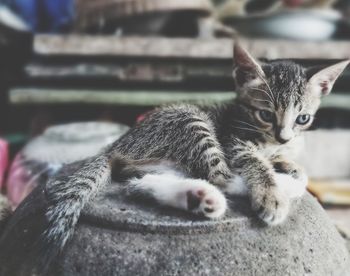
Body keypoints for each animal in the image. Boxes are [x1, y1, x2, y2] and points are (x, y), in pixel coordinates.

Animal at [0, 43, 348, 274]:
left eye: (303, 118)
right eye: (265, 114)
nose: (284, 136)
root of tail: (113, 145)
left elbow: (293, 163)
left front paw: (289, 164)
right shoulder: (234, 141)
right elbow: (255, 163)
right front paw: (271, 191)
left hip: (163, 161)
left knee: (144, 182)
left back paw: (200, 198)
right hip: (190, 119)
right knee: (221, 176)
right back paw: (277, 188)